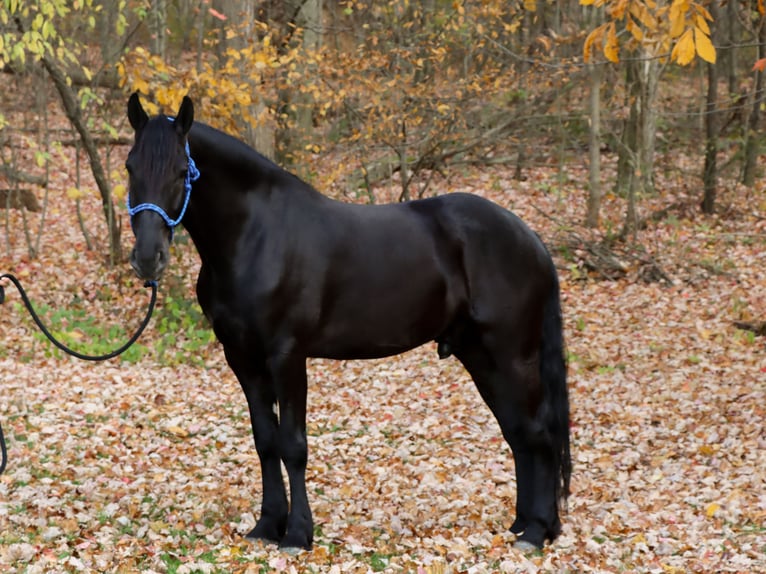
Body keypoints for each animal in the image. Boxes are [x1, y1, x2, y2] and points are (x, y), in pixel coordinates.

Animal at [125, 93, 571, 551]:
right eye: (129, 167)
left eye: (182, 171)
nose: (148, 258)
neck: (257, 236)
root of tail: (529, 239)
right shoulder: (242, 357)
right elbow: (265, 442)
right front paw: (267, 526)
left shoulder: (287, 355)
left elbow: (292, 444)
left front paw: (298, 534)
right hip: (481, 355)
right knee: (518, 433)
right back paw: (522, 524)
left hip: (512, 355)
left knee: (539, 434)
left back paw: (537, 530)